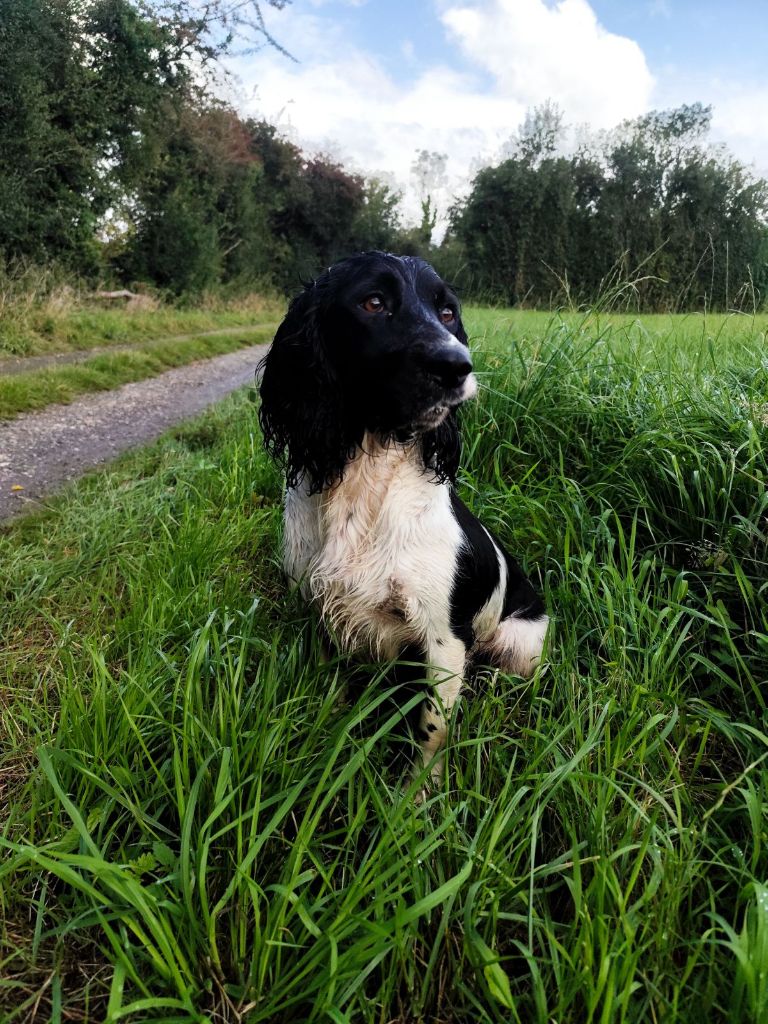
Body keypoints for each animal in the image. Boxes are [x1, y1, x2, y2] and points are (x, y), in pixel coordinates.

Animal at [262, 251, 548, 786]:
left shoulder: (442, 640)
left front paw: (419, 796)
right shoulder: (317, 607)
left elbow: (433, 731)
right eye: (374, 302)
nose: (458, 366)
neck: (367, 484)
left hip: (521, 644)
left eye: (448, 312)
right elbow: (333, 691)